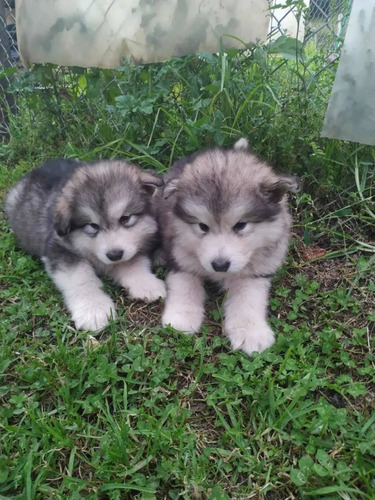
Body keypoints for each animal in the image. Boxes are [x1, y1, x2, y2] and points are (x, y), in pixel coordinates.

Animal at [5, 158, 167, 330]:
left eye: (125, 218)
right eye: (93, 226)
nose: (114, 255)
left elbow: (132, 263)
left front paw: (146, 284)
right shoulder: (60, 249)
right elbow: (80, 277)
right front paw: (93, 309)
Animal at [159, 137, 300, 356]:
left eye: (240, 225)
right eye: (202, 226)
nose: (220, 265)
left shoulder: (257, 270)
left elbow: (248, 297)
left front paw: (250, 331)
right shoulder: (178, 254)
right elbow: (185, 284)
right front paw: (182, 316)